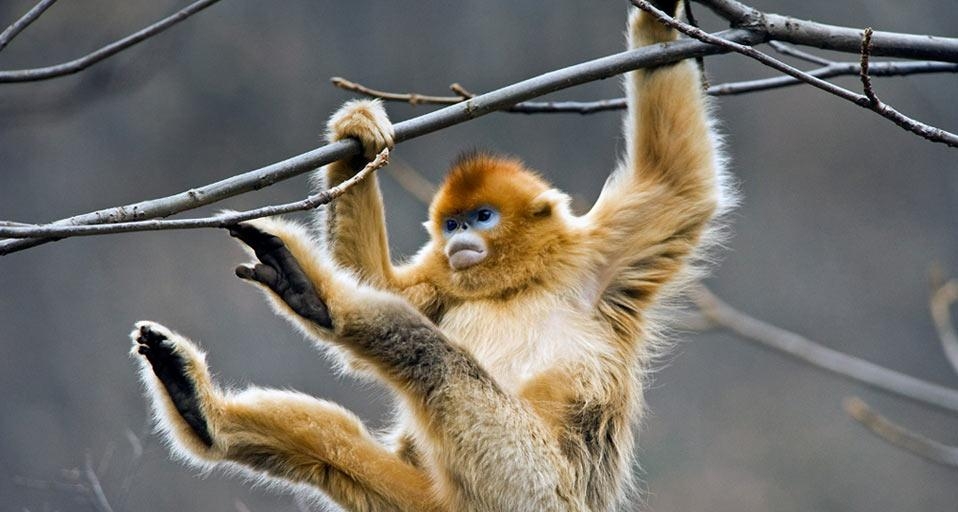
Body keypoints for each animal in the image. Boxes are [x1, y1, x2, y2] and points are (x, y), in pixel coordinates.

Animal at [132, 2, 732, 510]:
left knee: (432, 360)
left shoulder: (604, 257)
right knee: (343, 442)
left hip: (524, 482)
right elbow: (379, 282)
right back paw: (205, 409)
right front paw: (358, 142)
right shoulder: (446, 278)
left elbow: (678, 183)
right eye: (452, 223)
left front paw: (664, 20)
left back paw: (319, 300)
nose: (459, 237)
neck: (519, 281)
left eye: (482, 217)